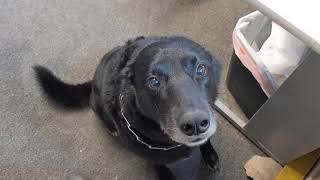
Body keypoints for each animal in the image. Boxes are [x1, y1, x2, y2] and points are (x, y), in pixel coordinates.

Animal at [33, 35, 221, 179]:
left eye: (201, 69)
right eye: (153, 82)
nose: (195, 124)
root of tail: (92, 81)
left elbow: (206, 140)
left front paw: (210, 154)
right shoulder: (151, 155)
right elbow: (159, 165)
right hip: (97, 103)